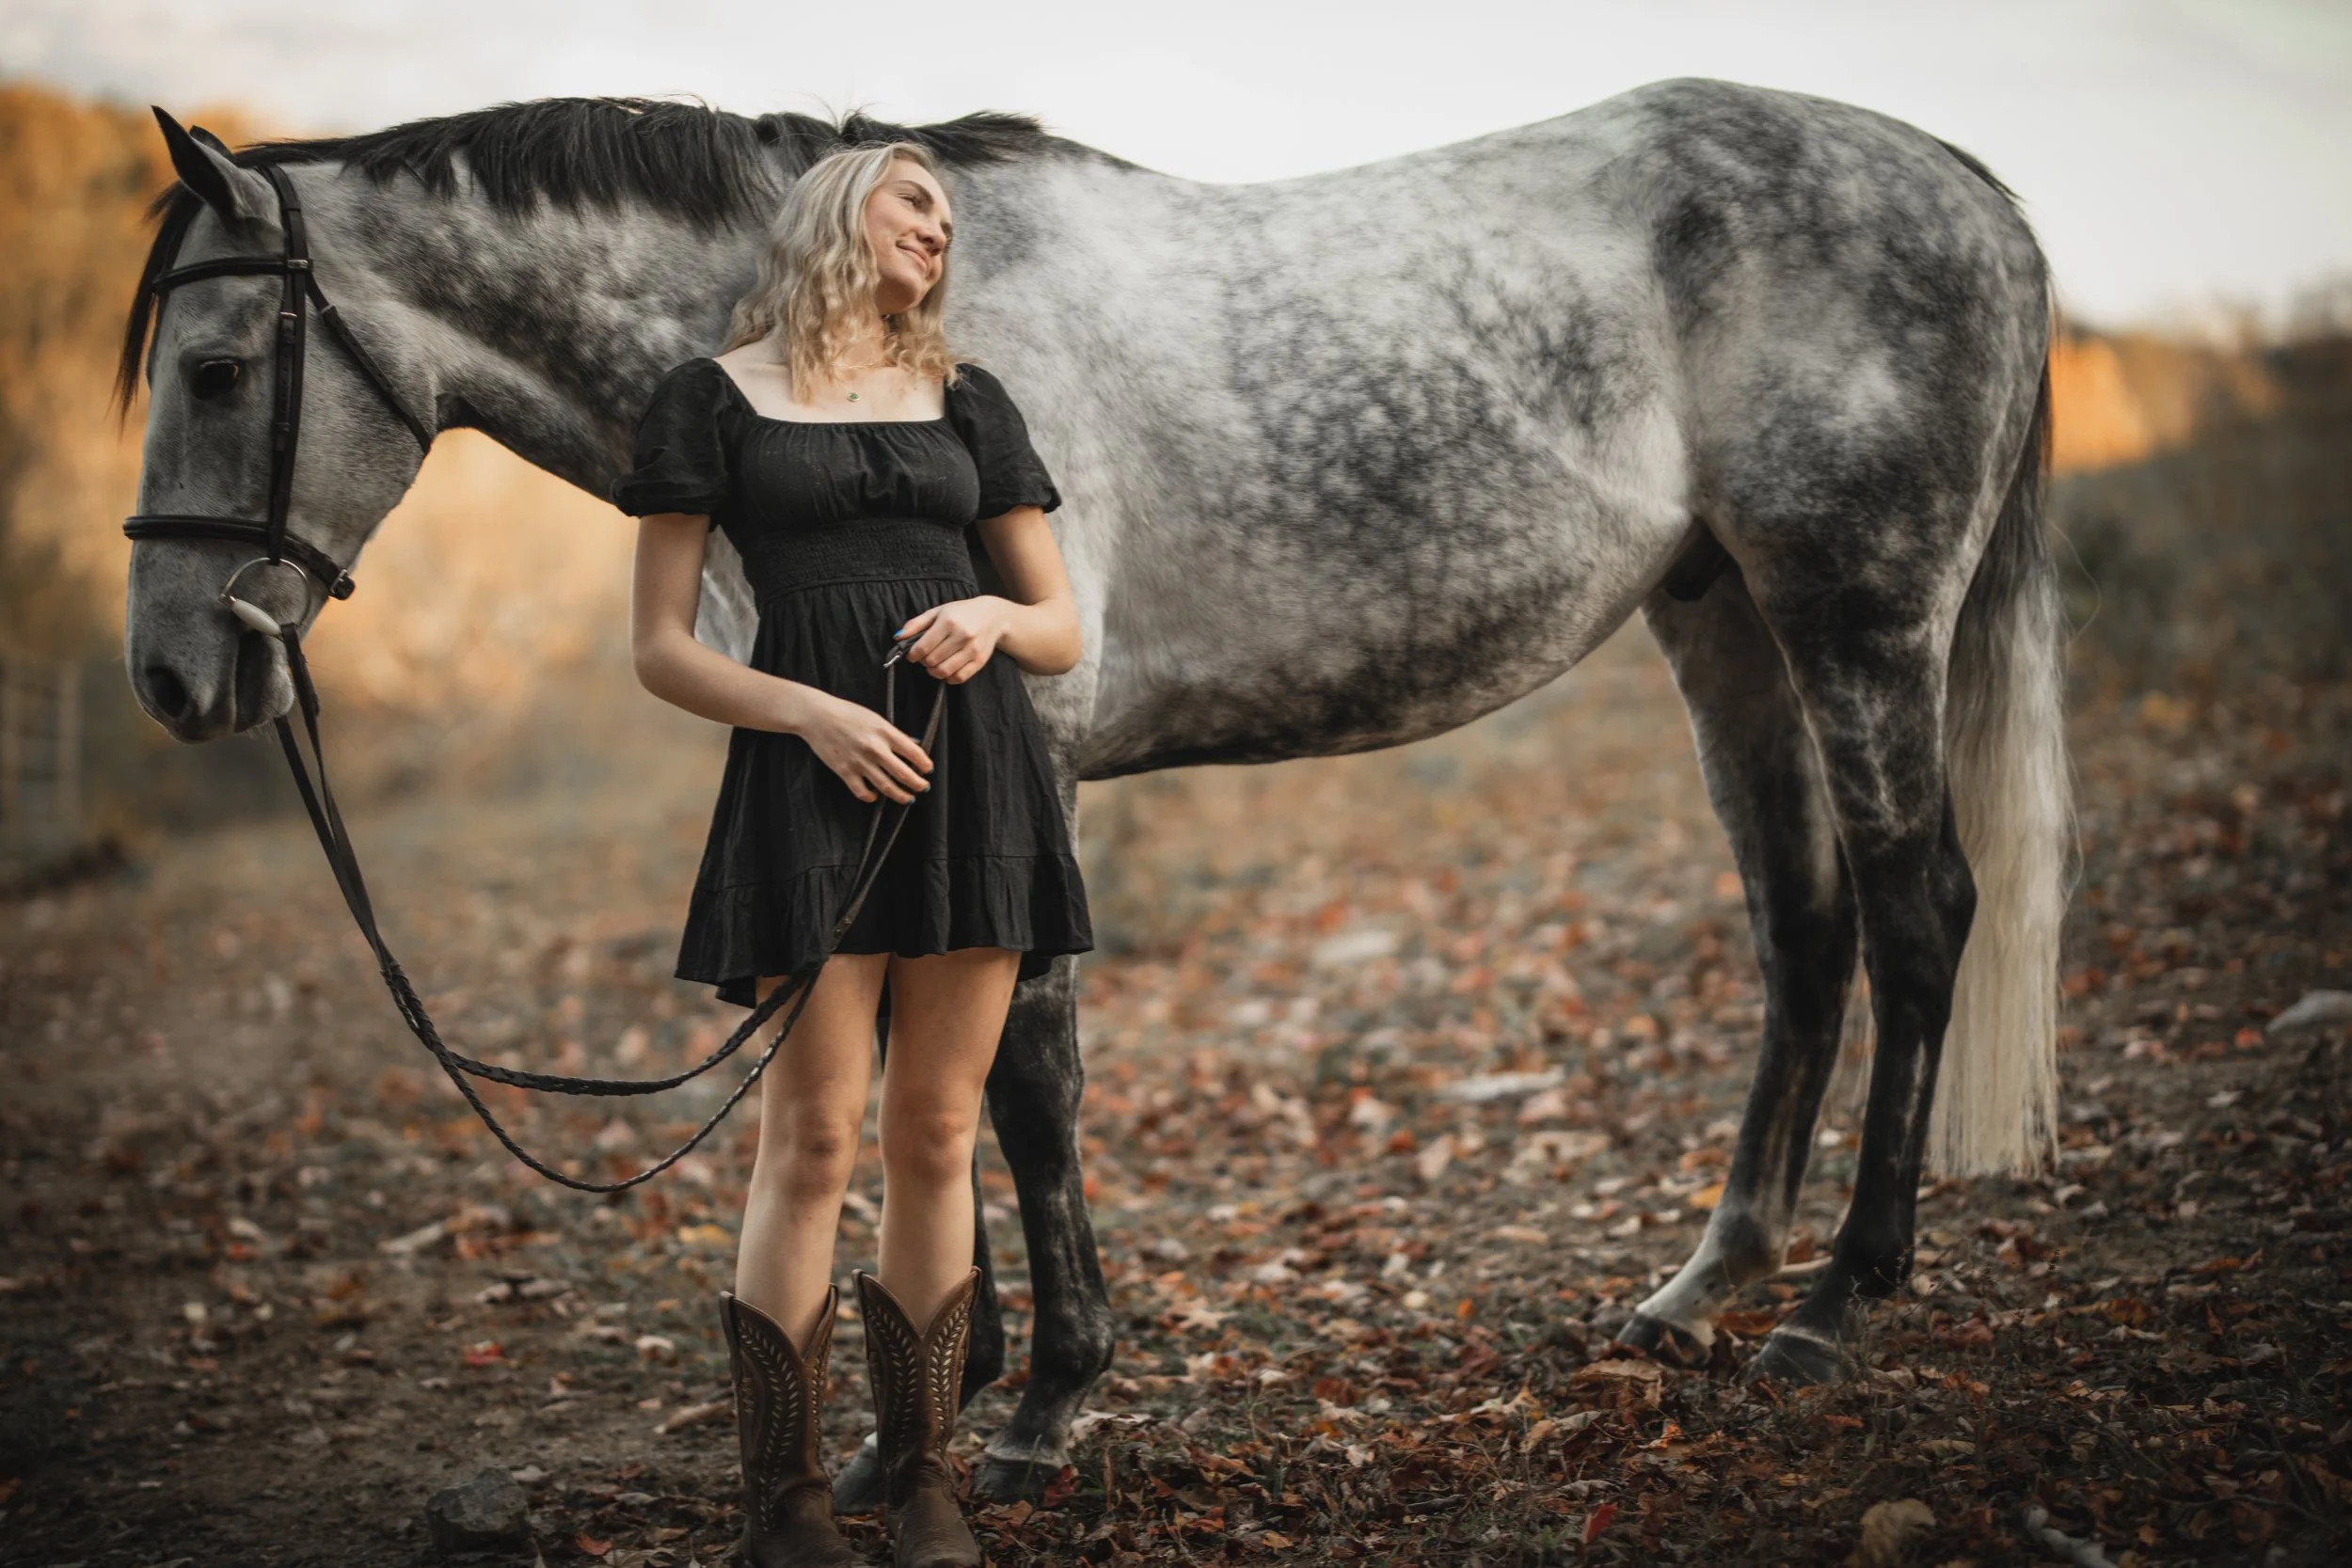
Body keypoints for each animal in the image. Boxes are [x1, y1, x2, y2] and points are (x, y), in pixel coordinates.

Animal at [118, 77, 2066, 1503]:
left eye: (216, 369)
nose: (174, 678)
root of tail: (1971, 186)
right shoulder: (874, 769)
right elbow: (927, 1064)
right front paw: (936, 1379)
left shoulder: (1019, 751)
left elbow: (1026, 1077)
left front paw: (1044, 1400)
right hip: (1721, 618)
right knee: (1805, 930)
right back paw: (1704, 1289)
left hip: (1857, 615)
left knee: (1919, 917)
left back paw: (1838, 1302)